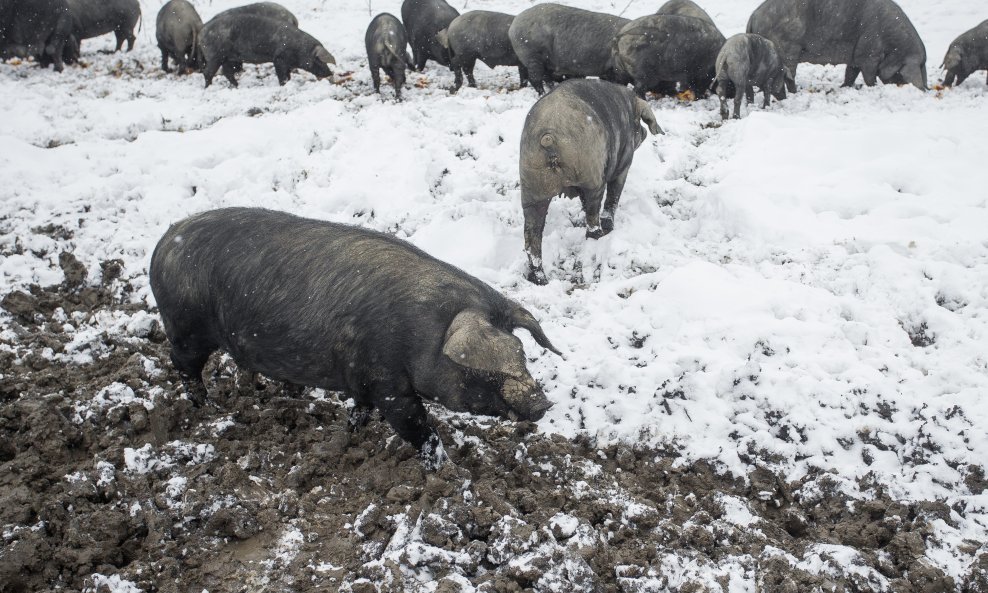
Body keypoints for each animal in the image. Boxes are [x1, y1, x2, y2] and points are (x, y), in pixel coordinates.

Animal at [150, 206, 560, 464]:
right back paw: (208, 409)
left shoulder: (362, 379)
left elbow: (358, 412)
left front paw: (345, 442)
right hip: (185, 326)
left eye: (521, 353)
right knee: (182, 364)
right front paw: (449, 474)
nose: (542, 403)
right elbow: (418, 428)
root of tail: (164, 240)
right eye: (480, 372)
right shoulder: (388, 383)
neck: (421, 334)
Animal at [200, 13, 336, 87]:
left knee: (227, 72)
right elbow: (283, 76)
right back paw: (208, 88)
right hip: (215, 56)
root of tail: (202, 32)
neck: (300, 49)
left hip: (230, 58)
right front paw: (284, 85)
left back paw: (237, 86)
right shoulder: (279, 59)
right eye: (319, 60)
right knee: (208, 72)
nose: (330, 73)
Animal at [516, 79, 664, 286]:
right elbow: (614, 194)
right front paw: (609, 224)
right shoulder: (624, 163)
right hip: (592, 177)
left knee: (532, 237)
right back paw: (599, 236)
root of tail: (549, 136)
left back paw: (540, 279)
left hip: (532, 188)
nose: (643, 132)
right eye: (638, 122)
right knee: (593, 213)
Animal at [748, 0, 928, 91]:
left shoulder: (855, 56)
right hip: (788, 48)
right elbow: (869, 76)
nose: (924, 88)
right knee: (789, 74)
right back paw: (795, 90)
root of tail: (753, 16)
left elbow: (851, 73)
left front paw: (844, 87)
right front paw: (872, 87)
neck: (893, 46)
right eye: (900, 74)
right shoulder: (869, 52)